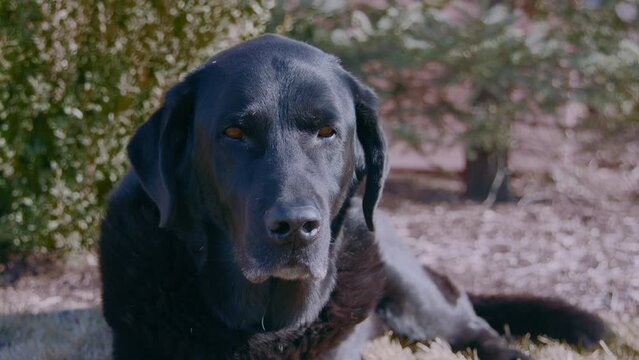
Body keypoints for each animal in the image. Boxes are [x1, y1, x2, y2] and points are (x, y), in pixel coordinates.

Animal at [99, 34, 604, 360]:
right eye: (234, 133)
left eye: (327, 131)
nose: (297, 227)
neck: (266, 326)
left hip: (409, 289)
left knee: (475, 329)